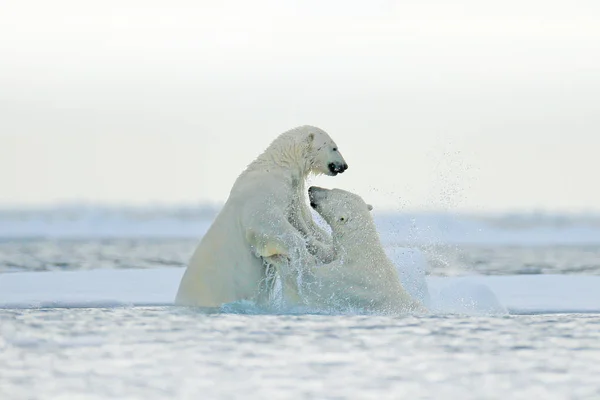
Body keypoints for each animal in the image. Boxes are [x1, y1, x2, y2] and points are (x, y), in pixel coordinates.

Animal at [175, 125, 346, 306]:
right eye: (334, 147)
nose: (344, 166)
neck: (279, 165)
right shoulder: (262, 195)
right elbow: (269, 225)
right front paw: (306, 259)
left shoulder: (292, 196)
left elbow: (304, 225)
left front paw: (328, 249)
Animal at [284, 188, 422, 316]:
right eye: (333, 188)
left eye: (328, 195)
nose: (311, 188)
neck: (361, 250)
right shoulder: (339, 254)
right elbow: (326, 253)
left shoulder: (348, 277)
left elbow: (313, 277)